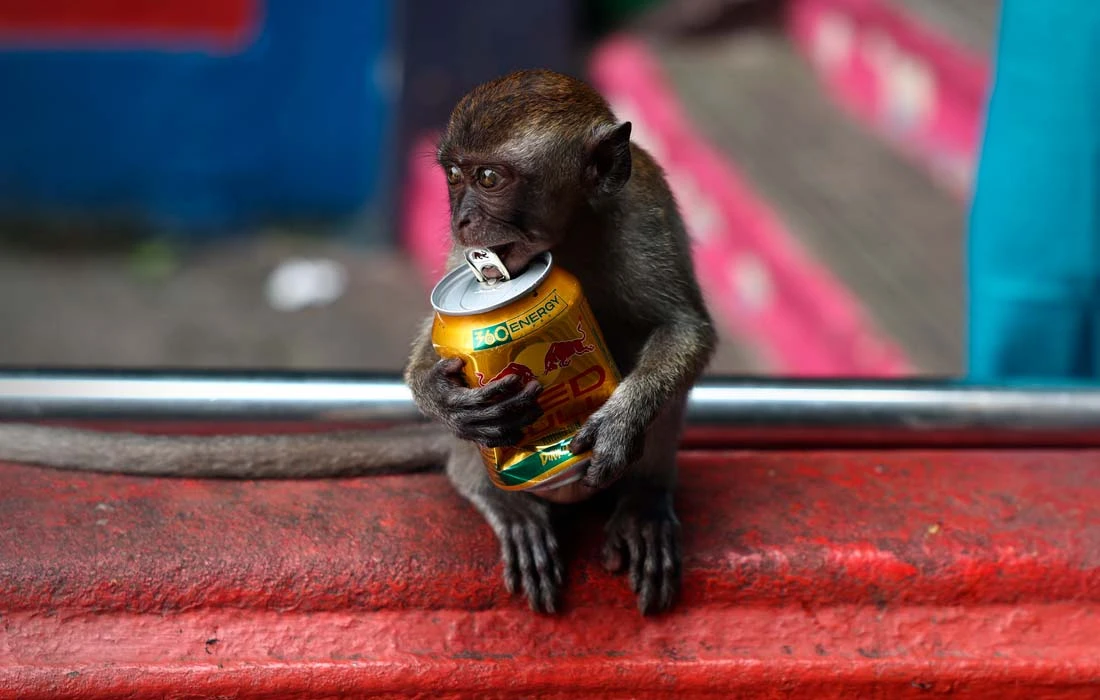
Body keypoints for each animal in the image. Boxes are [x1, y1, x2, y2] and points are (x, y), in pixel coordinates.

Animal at [0, 69, 716, 616]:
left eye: (490, 178)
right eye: (453, 176)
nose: (462, 218)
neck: (569, 233)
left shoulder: (642, 212)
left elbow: (685, 331)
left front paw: (618, 424)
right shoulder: (470, 270)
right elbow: (434, 340)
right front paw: (441, 395)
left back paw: (643, 501)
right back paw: (494, 491)